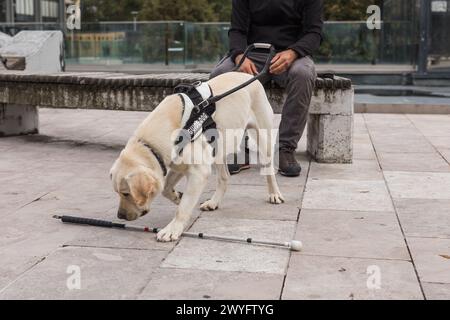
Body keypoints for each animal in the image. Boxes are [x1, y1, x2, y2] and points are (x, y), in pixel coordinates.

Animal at [110, 72, 284, 242]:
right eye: (118, 193)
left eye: (126, 193)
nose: (120, 216)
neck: (149, 144)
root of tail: (250, 75)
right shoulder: (177, 165)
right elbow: (166, 189)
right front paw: (177, 196)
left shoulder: (198, 173)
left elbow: (183, 208)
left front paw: (172, 229)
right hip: (217, 148)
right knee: (224, 177)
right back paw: (213, 202)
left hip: (263, 137)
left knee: (269, 170)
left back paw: (274, 194)